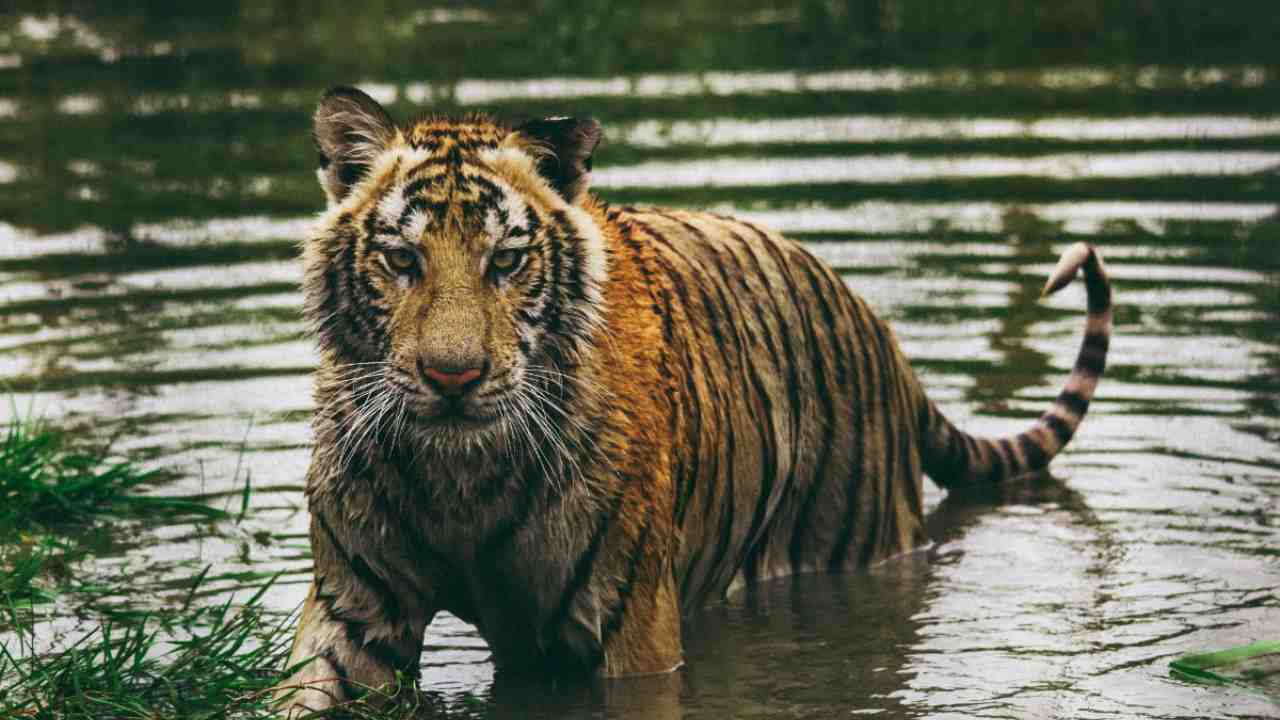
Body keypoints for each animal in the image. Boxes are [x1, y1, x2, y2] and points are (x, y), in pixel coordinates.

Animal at [276, 86, 1112, 714]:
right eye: (401, 259)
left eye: (507, 261)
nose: (453, 377)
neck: (461, 479)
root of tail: (883, 334)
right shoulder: (354, 612)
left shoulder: (630, 628)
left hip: (853, 545)